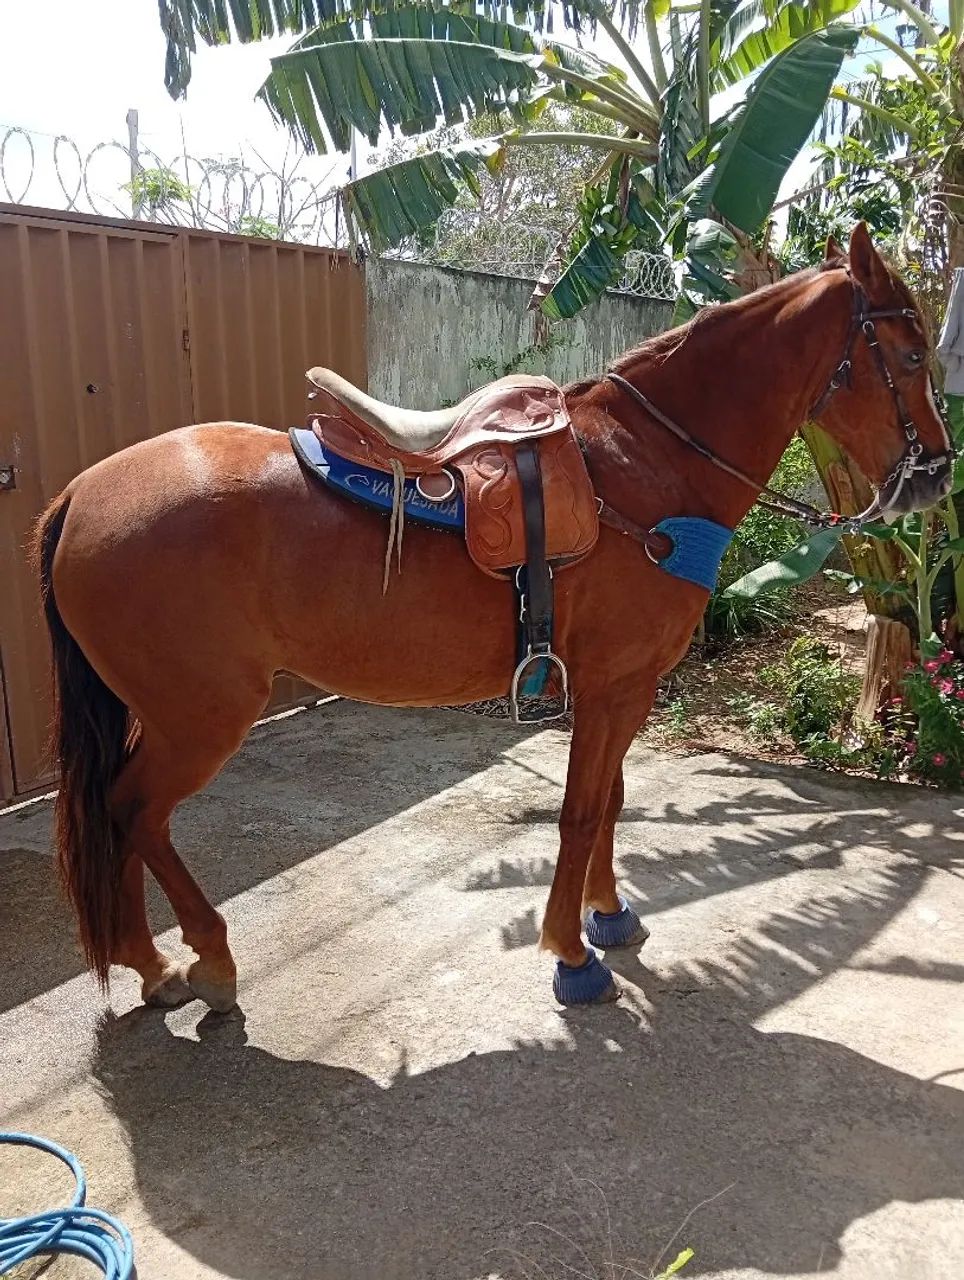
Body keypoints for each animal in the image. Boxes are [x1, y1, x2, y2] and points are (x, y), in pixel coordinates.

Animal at [32, 224, 952, 1012]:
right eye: (909, 353)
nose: (937, 474)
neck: (649, 468)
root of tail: (80, 494)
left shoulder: (627, 687)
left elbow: (611, 800)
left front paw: (608, 916)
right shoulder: (611, 685)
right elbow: (580, 810)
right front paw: (572, 956)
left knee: (117, 814)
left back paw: (149, 965)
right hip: (202, 718)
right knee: (132, 811)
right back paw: (206, 959)